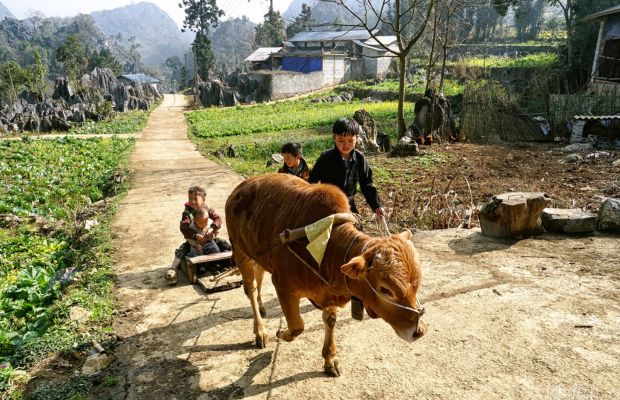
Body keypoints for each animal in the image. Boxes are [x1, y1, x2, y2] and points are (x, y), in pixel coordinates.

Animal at [226, 173, 426, 376]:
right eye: (386, 290)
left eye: (417, 285)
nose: (419, 332)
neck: (328, 247)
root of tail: (241, 187)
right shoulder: (282, 285)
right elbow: (297, 327)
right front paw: (281, 333)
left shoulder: (330, 292)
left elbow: (329, 320)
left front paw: (329, 359)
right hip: (241, 253)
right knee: (250, 288)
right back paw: (260, 330)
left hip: (258, 253)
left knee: (258, 275)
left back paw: (261, 307)